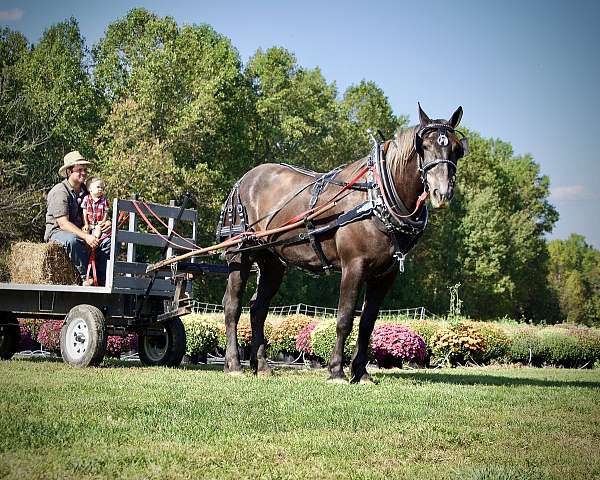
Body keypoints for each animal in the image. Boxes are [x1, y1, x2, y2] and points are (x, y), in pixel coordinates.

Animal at [217, 104, 468, 382]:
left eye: (457, 149)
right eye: (423, 146)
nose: (442, 193)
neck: (376, 196)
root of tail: (243, 180)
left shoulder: (385, 275)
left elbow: (367, 323)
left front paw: (361, 372)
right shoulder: (353, 266)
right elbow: (345, 318)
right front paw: (336, 370)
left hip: (272, 262)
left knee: (258, 307)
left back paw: (260, 365)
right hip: (240, 254)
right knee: (232, 306)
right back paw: (234, 364)